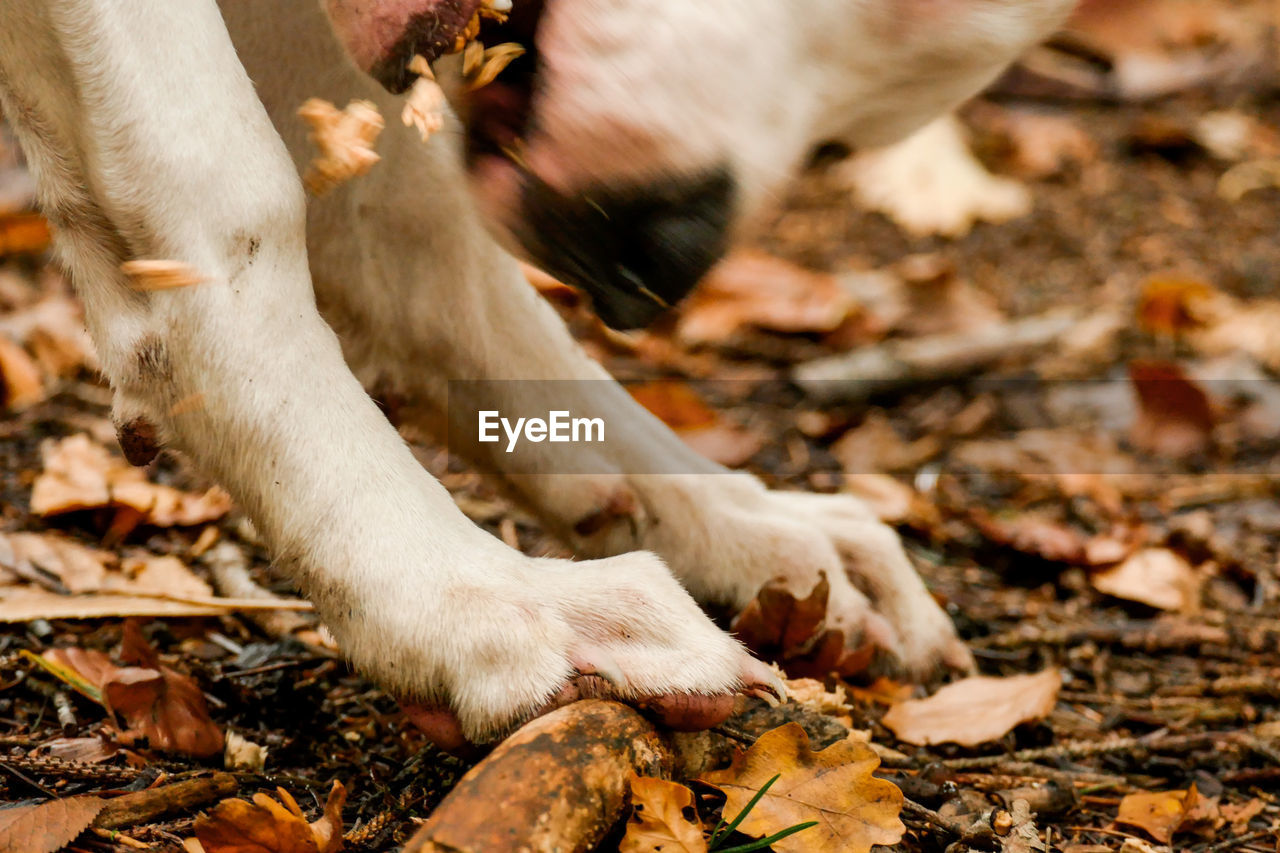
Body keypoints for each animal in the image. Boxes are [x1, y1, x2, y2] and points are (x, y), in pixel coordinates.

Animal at [0, 0, 1075, 742]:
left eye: (846, 140)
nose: (646, 268)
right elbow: (227, 186)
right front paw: (465, 595)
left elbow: (408, 230)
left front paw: (728, 523)